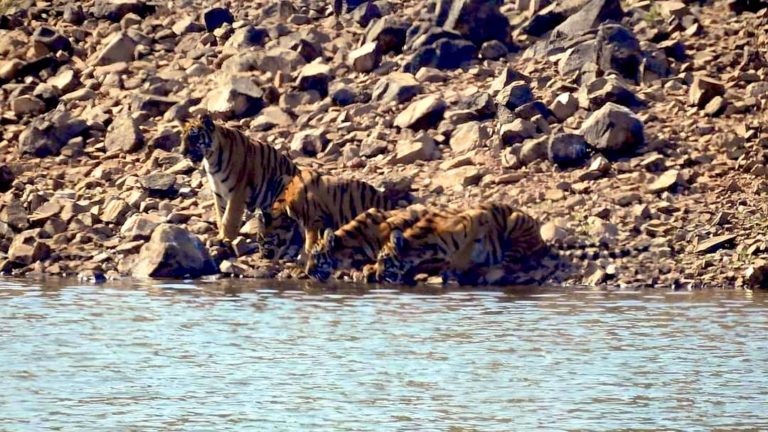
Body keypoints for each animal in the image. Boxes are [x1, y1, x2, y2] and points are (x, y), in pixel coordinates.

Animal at [182, 113, 298, 241]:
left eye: (193, 138)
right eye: (182, 138)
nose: (182, 153)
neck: (211, 160)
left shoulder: (237, 192)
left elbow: (229, 218)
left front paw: (226, 238)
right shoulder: (218, 192)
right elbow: (220, 214)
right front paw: (220, 235)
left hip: (284, 183)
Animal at [374, 204, 544, 286]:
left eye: (383, 260)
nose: (377, 277)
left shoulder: (476, 218)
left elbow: (465, 250)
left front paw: (457, 268)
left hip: (515, 220)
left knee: (508, 265)